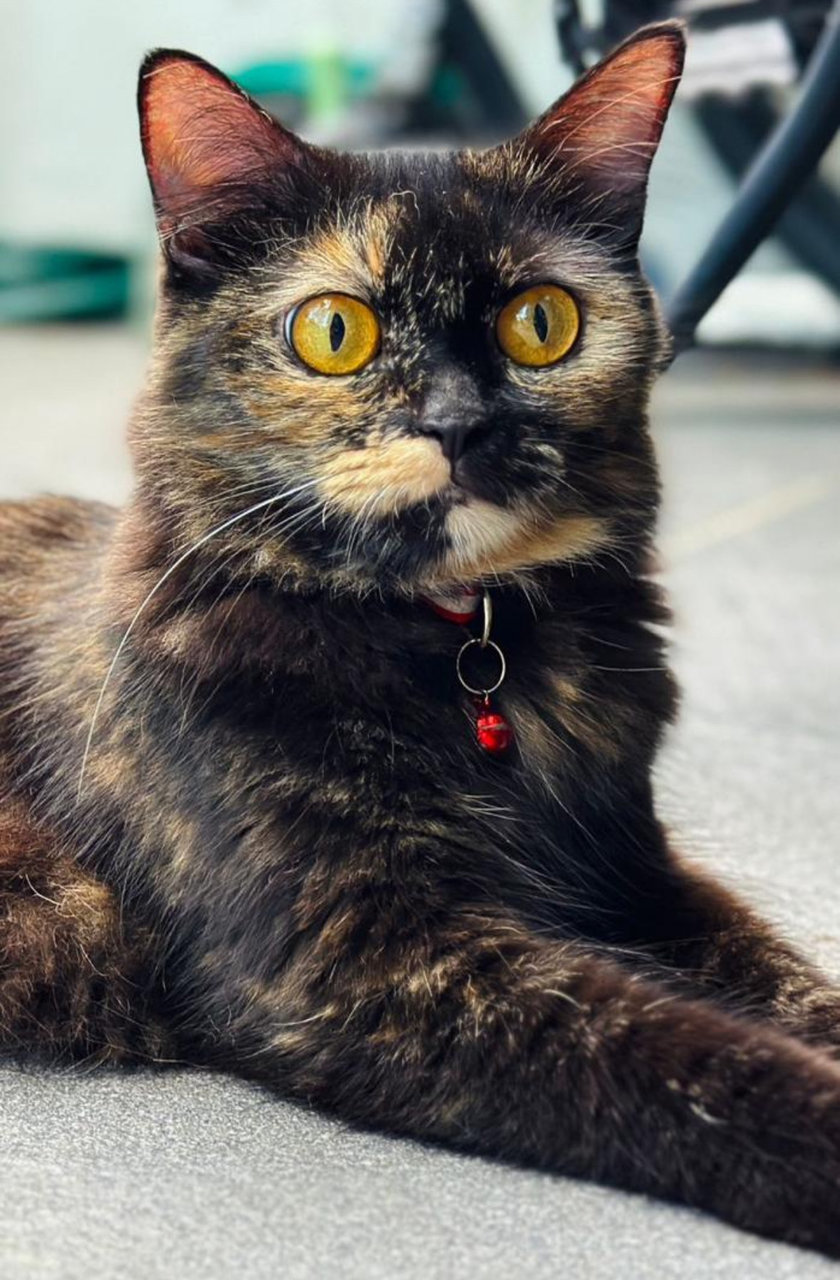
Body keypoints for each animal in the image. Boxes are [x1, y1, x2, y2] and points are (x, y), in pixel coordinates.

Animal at [1, 20, 840, 1254]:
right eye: (333, 333)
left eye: (541, 322)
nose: (458, 422)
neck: (466, 651)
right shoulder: (363, 958)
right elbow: (692, 1058)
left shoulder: (633, 868)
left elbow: (788, 983)